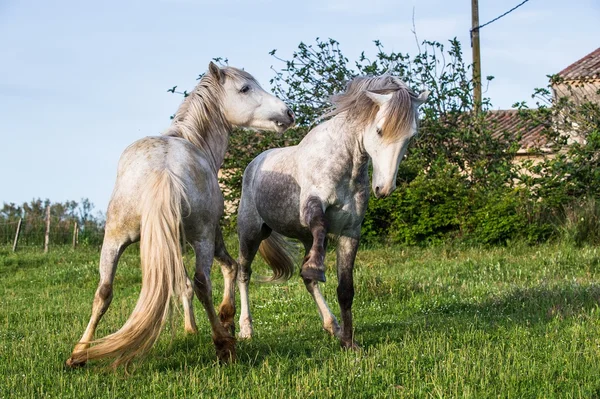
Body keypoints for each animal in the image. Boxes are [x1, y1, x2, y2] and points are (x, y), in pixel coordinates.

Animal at [67, 62, 294, 368]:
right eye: (245, 88)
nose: (288, 112)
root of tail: (164, 170)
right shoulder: (212, 237)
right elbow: (228, 269)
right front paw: (226, 320)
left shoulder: (172, 241)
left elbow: (181, 283)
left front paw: (191, 328)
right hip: (202, 240)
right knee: (204, 282)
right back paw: (223, 345)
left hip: (114, 239)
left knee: (103, 291)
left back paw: (79, 353)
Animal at [234, 75, 426, 350]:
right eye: (379, 130)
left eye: (411, 135)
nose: (384, 188)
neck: (345, 163)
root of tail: (255, 164)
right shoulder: (312, 205)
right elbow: (320, 224)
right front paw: (316, 266)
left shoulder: (350, 232)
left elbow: (345, 290)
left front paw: (349, 342)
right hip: (250, 232)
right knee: (243, 273)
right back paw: (245, 329)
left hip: (302, 237)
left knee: (307, 280)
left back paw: (331, 325)